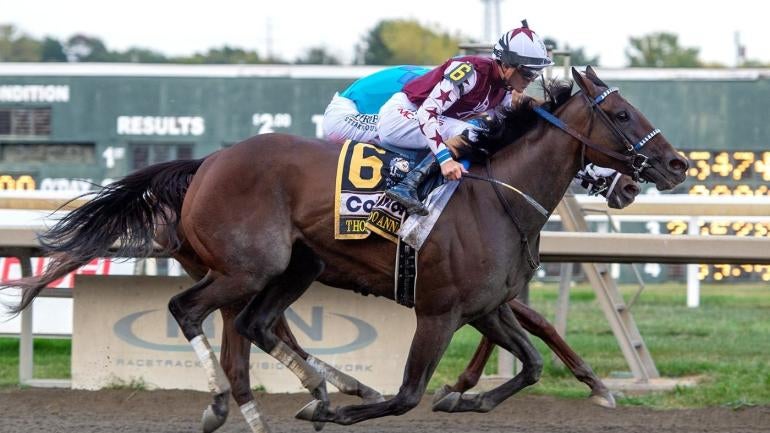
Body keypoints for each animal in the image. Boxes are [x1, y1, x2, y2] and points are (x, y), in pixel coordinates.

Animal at [3, 67, 687, 430]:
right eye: (622, 115)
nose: (676, 164)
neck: (495, 196)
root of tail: (208, 162)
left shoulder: (486, 306)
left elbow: (533, 360)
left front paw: (467, 395)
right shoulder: (439, 312)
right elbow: (407, 395)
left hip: (287, 268)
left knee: (251, 327)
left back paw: (303, 392)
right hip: (247, 267)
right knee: (192, 313)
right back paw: (238, 401)